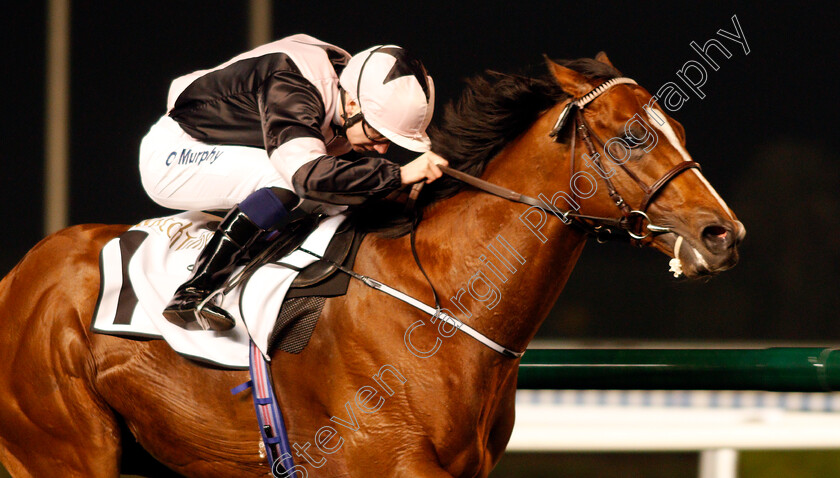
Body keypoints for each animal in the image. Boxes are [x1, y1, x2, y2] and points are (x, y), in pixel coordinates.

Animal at [0, 54, 740, 476]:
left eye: (677, 129)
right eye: (633, 135)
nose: (723, 233)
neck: (441, 302)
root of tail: (20, 276)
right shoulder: (386, 462)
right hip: (63, 450)